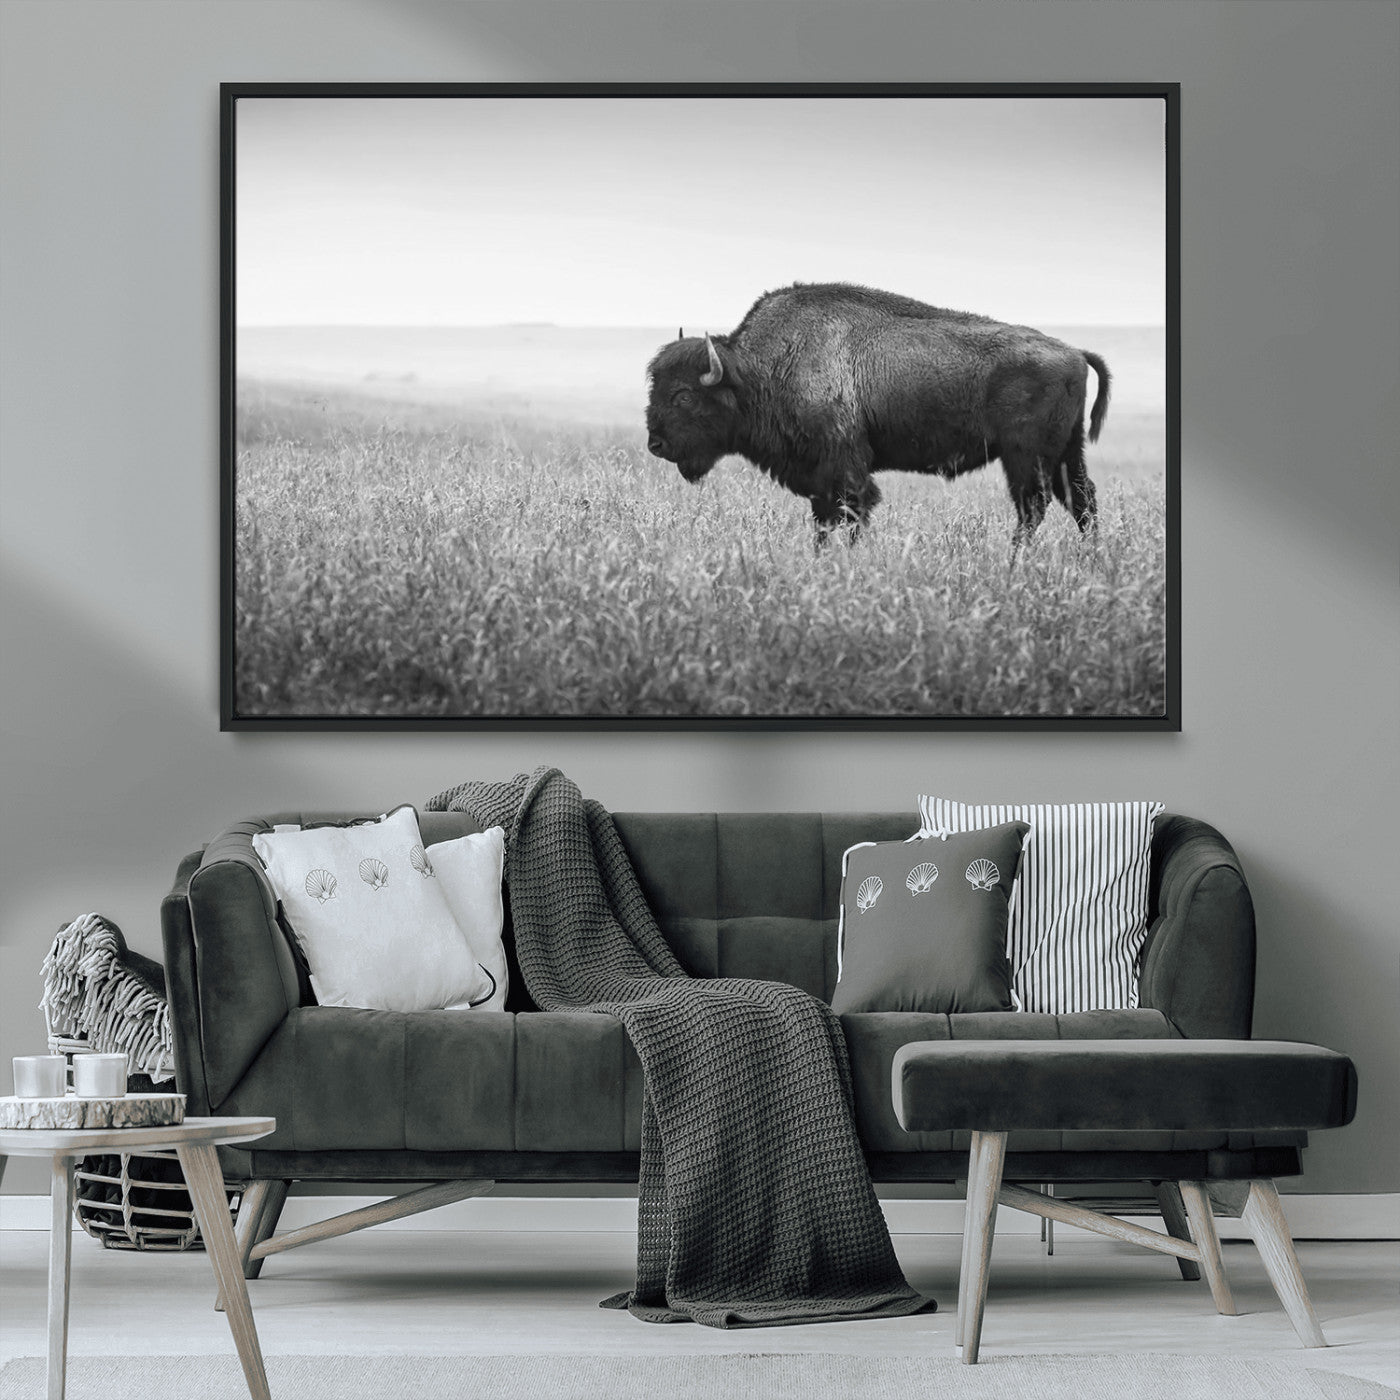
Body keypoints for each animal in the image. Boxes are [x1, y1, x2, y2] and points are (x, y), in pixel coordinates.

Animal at [645, 282, 1110, 547]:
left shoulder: (845, 470)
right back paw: (1090, 559)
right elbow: (824, 522)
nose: (655, 444)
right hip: (1067, 453)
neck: (759, 370)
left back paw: (1015, 560)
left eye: (684, 395)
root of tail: (1074, 352)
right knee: (1082, 502)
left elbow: (851, 514)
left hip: (1026, 457)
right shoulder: (820, 480)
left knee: (1034, 507)